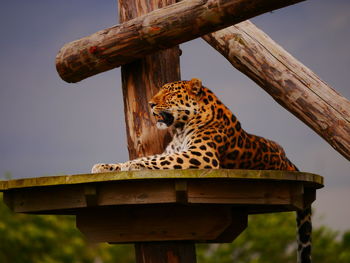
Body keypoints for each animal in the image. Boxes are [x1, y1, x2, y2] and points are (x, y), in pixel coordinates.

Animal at [92, 79, 312, 263]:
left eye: (168, 93)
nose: (150, 104)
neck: (179, 130)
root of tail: (288, 160)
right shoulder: (178, 151)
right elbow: (151, 157)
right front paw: (105, 166)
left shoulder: (200, 155)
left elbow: (154, 159)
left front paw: (132, 165)